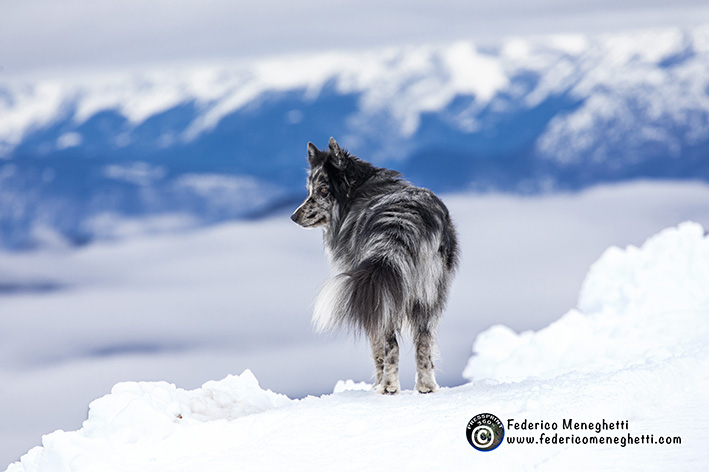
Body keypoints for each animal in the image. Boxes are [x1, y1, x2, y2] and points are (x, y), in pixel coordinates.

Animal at [290, 137, 460, 394]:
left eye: (323, 190)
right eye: (309, 189)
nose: (294, 216)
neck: (358, 192)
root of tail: (405, 219)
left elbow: (377, 349)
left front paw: (377, 385)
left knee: (391, 346)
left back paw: (388, 387)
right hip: (429, 297)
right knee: (423, 345)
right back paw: (426, 387)